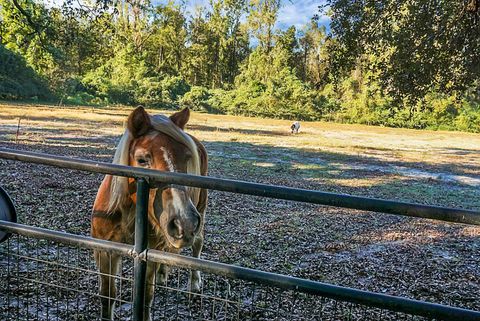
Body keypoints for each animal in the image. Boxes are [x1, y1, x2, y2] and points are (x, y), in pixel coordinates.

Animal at [91, 106, 207, 318]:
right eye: (142, 159)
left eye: (187, 158)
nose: (184, 223)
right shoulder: (105, 251)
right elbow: (107, 296)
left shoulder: (147, 254)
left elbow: (146, 297)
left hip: (201, 209)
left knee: (197, 245)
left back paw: (194, 284)